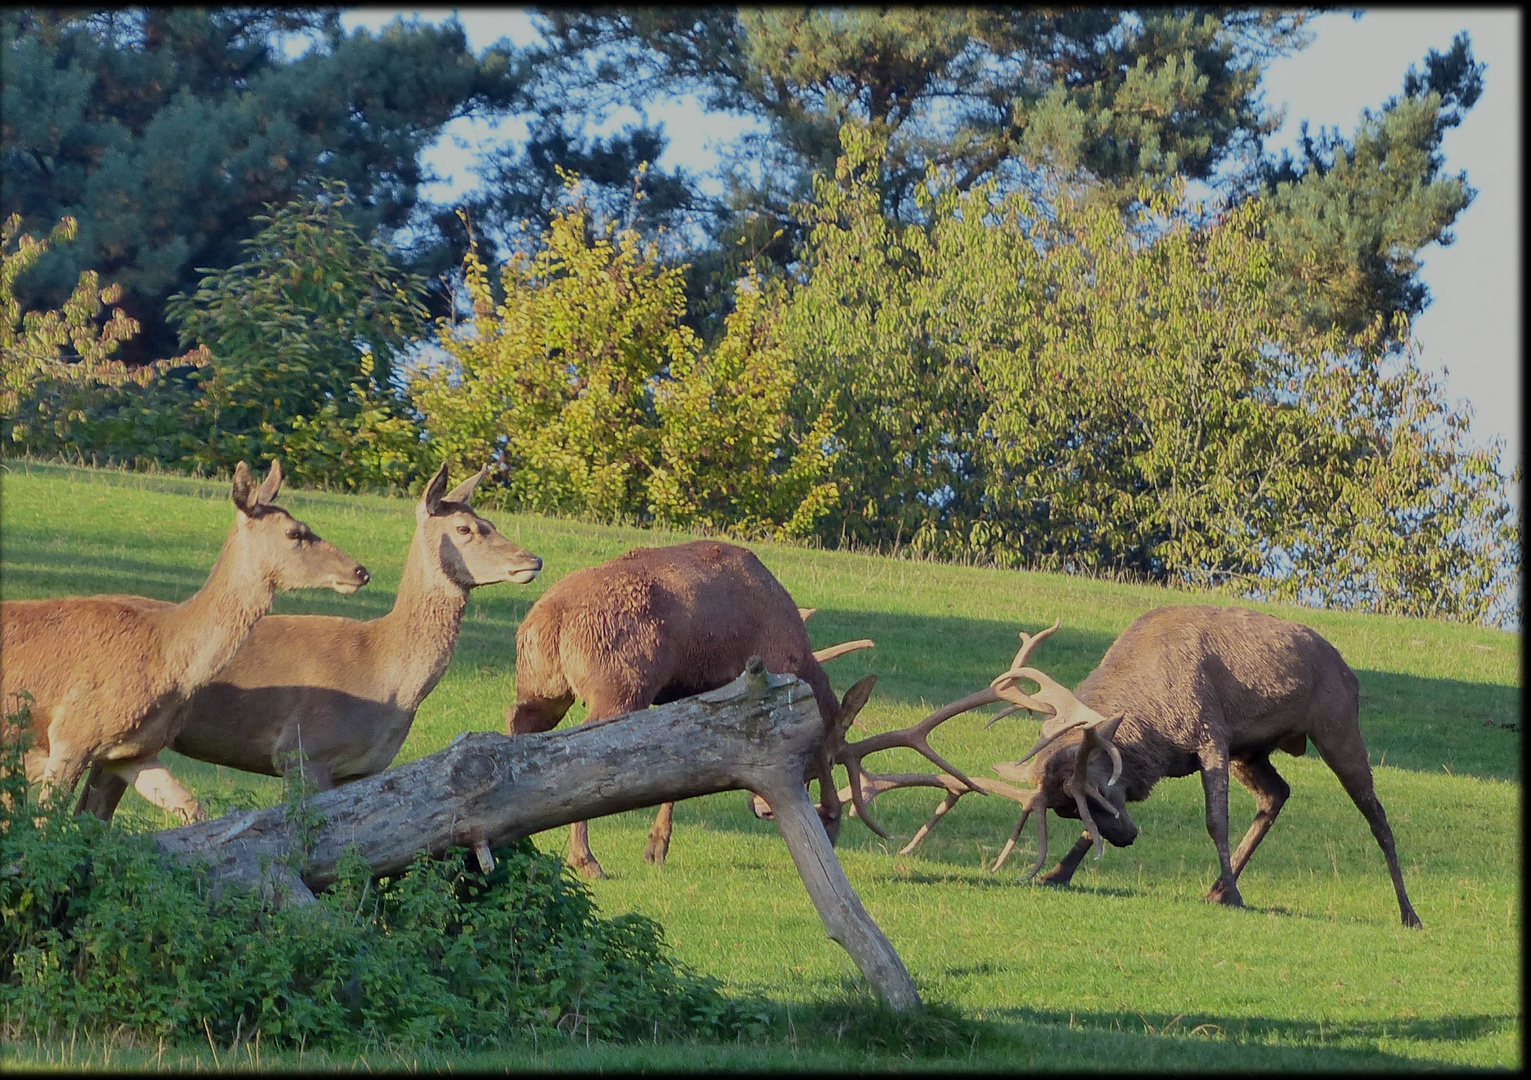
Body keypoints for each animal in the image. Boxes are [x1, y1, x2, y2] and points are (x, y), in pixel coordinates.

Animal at [0, 459, 370, 821]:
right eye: (294, 532)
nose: (361, 571)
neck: (167, 658)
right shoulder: (72, 734)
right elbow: (46, 823)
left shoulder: (132, 751)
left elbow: (191, 807)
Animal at [77, 459, 548, 814]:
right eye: (466, 528)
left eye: (490, 521)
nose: (533, 559)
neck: (387, 674)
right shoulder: (305, 750)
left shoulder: (363, 770)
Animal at [505, 539, 887, 876]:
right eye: (830, 755)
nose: (765, 810)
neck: (799, 661)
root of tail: (550, 619)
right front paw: (656, 847)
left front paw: (656, 848)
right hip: (619, 688)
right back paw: (585, 859)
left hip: (542, 688)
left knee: (517, 724)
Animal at [851, 606, 1420, 925]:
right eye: (1070, 808)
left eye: (1103, 789)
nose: (1128, 838)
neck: (1155, 725)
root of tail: (1350, 670)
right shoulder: (1225, 745)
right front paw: (1056, 873)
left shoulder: (1211, 732)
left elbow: (1215, 819)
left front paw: (1236, 896)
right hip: (1254, 751)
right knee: (1276, 793)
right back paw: (1217, 886)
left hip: (1337, 726)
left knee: (1377, 815)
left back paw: (1408, 912)